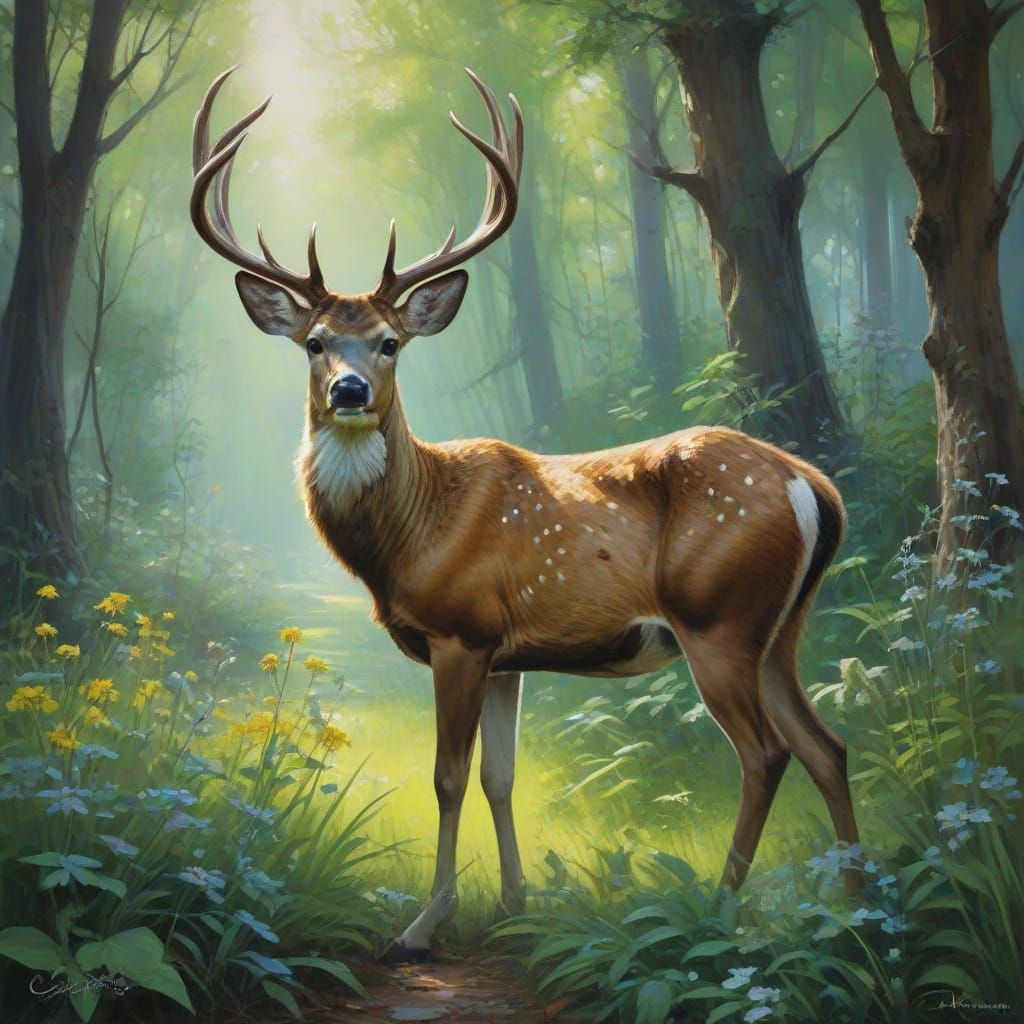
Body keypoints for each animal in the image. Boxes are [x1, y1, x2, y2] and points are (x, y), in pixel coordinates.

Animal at [190, 67, 863, 962]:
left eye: (391, 342)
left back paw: (721, 911)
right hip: (782, 629)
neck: (412, 533)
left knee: (765, 754)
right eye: (315, 342)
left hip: (718, 616)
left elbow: (446, 777)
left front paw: (423, 924)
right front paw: (514, 905)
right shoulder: (507, 654)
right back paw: (862, 906)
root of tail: (813, 488)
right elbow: (499, 777)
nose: (350, 391)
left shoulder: (461, 630)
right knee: (828, 745)